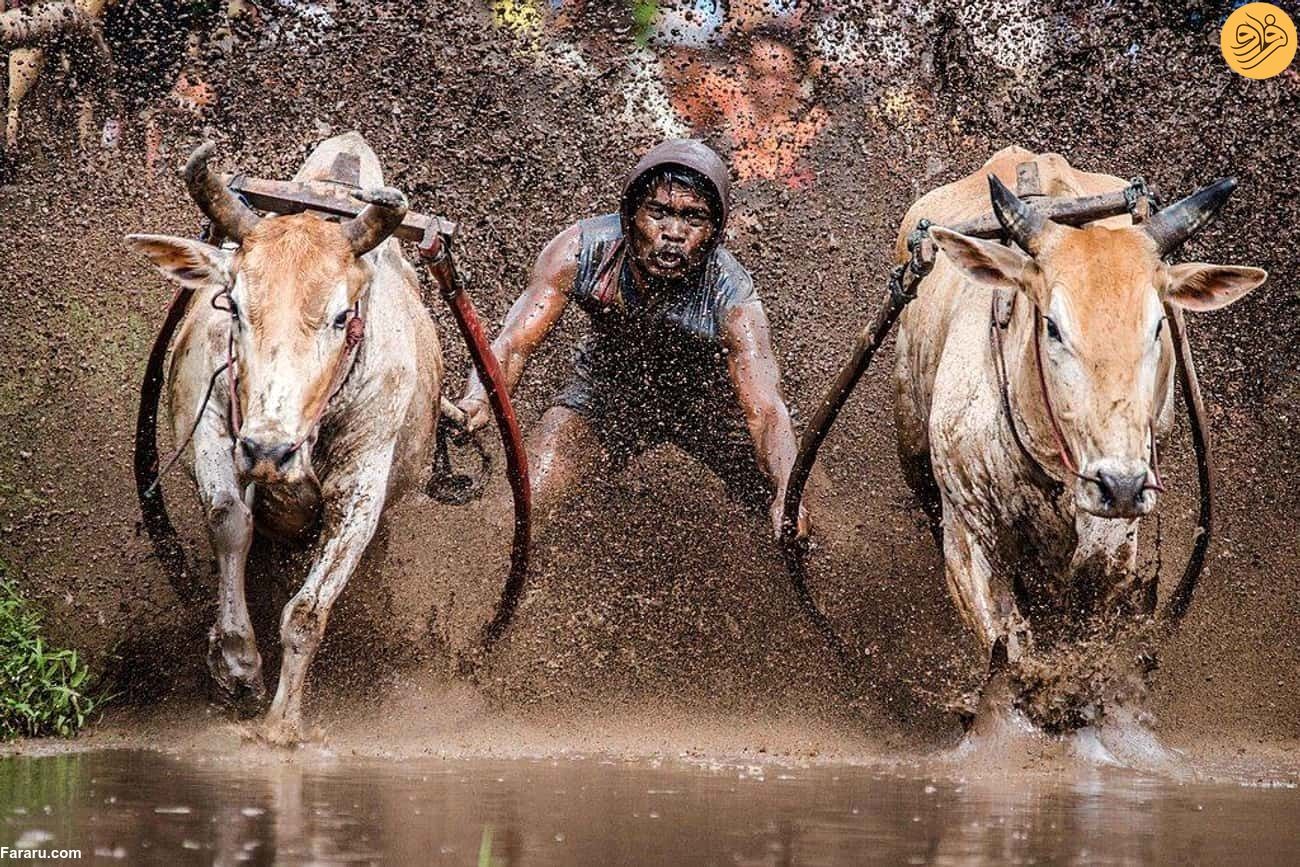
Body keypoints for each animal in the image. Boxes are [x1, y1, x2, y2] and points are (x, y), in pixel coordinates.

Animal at [128, 133, 441, 748]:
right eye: (233, 304)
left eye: (343, 316)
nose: (269, 452)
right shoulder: (212, 432)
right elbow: (230, 521)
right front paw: (236, 665)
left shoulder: (361, 490)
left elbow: (307, 613)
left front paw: (281, 724)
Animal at [894, 147, 1268, 753]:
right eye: (1052, 325)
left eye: (1158, 325)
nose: (1120, 484)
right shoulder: (969, 537)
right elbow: (1010, 652)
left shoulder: (1114, 537)